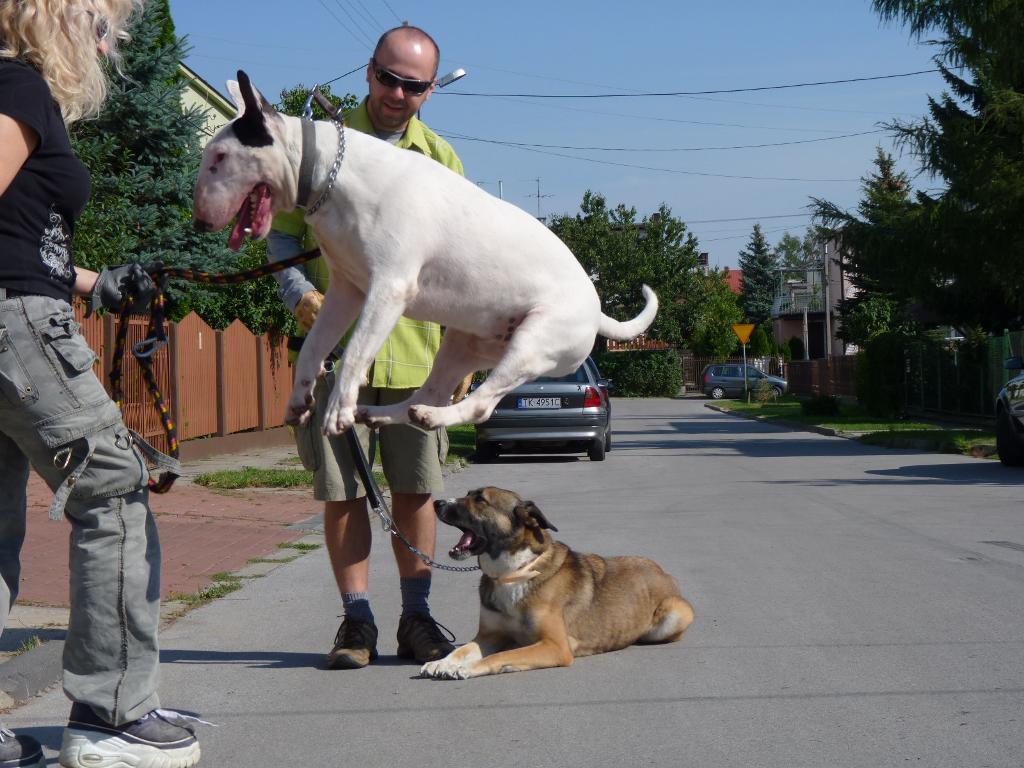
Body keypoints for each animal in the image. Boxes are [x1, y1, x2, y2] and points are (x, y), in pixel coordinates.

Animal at [417, 487, 696, 679]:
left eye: (480, 500)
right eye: (467, 494)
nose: (437, 503)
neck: (514, 573)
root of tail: (664, 572)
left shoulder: (555, 646)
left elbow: (503, 654)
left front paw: (471, 667)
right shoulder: (488, 635)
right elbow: (461, 650)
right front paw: (442, 662)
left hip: (675, 614)